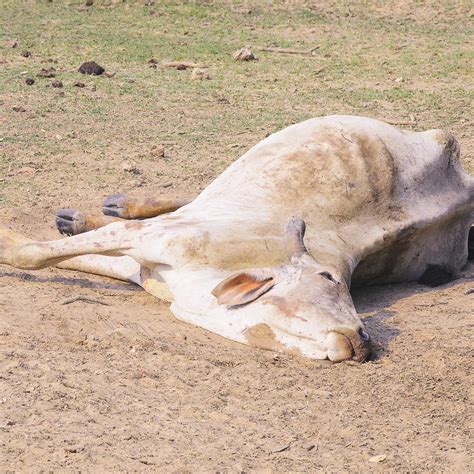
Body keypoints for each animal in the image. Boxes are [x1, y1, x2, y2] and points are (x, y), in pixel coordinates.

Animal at [0, 115, 472, 362]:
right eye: (329, 278)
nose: (362, 341)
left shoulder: (145, 259)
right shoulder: (152, 240)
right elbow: (35, 254)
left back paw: (90, 214)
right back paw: (97, 211)